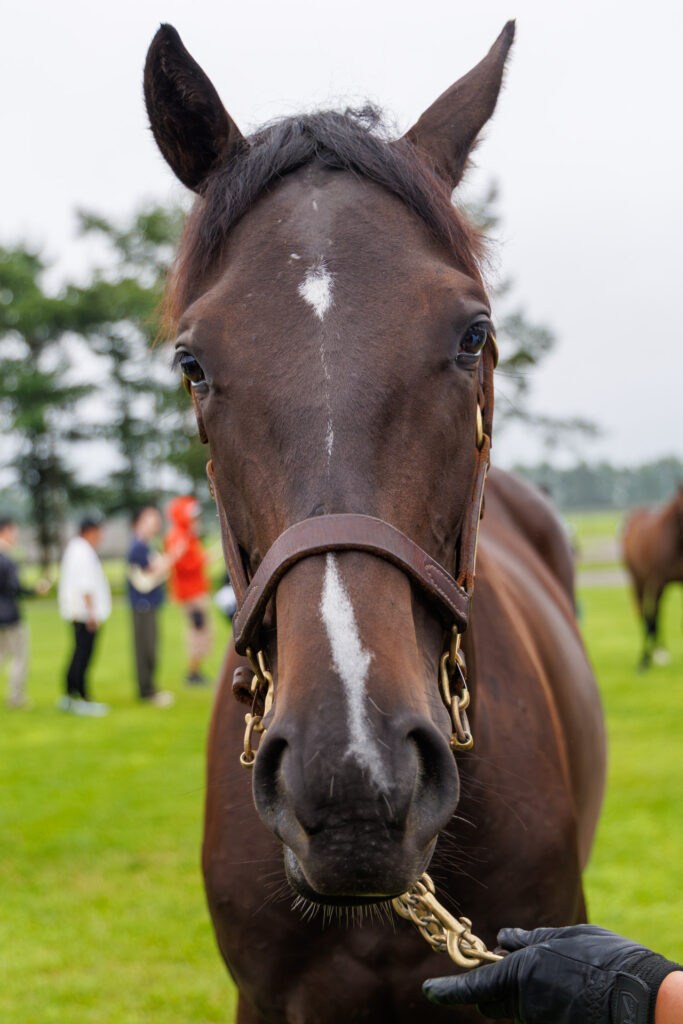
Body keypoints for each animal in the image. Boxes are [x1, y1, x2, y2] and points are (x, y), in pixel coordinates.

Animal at [623, 486, 683, 669]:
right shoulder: (657, 581)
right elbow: (652, 616)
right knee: (645, 612)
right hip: (638, 581)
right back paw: (647, 656)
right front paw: (646, 659)